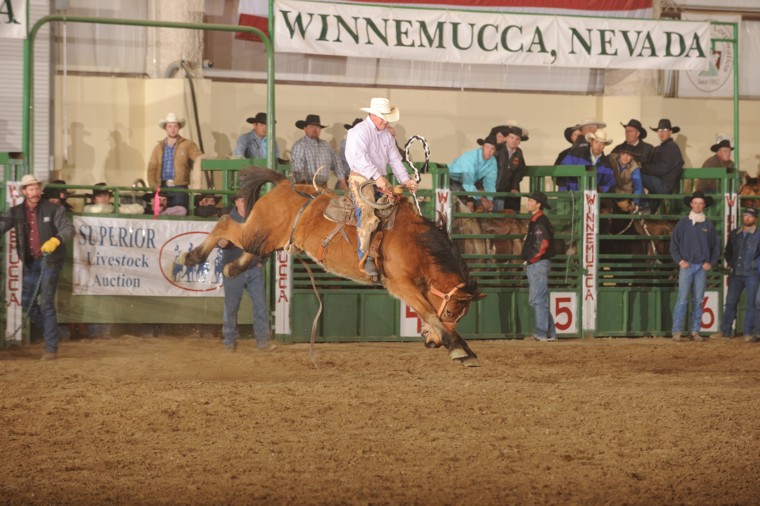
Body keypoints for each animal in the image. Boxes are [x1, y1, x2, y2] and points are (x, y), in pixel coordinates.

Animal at [180, 167, 484, 366]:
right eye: (453, 309)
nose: (432, 343)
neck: (416, 244)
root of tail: (284, 183)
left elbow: (430, 314)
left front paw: (463, 347)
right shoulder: (401, 285)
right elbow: (430, 313)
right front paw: (458, 349)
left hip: (268, 239)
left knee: (253, 252)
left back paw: (231, 269)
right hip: (257, 229)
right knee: (224, 224)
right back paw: (191, 257)